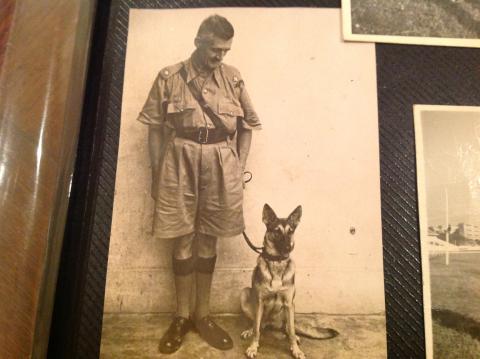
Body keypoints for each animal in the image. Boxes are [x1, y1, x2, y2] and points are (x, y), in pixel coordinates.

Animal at [240, 205, 338, 359]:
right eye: (277, 231)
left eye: (290, 231)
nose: (288, 247)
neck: (277, 262)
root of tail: (271, 324)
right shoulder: (259, 302)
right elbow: (256, 330)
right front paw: (253, 347)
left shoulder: (288, 302)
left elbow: (291, 331)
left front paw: (296, 350)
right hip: (245, 294)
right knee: (257, 325)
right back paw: (250, 330)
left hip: (291, 307)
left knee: (288, 328)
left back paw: (295, 337)